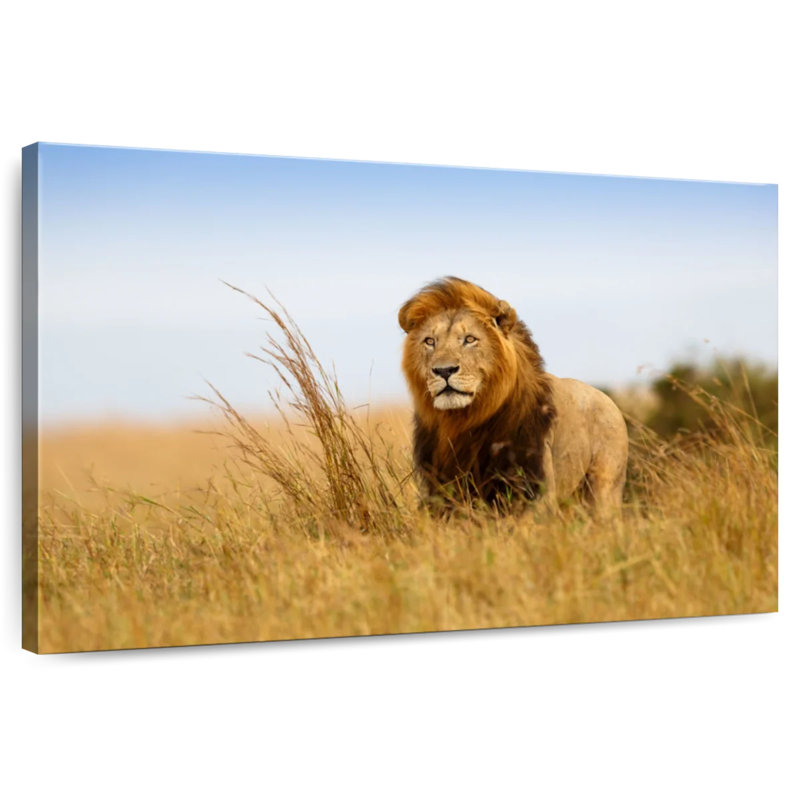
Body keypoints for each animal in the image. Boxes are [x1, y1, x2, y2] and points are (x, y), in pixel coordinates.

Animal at [398, 277, 628, 517]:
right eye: (429, 341)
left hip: (604, 489)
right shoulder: (439, 488)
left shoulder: (534, 487)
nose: (444, 371)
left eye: (470, 339)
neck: (463, 421)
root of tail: (609, 400)